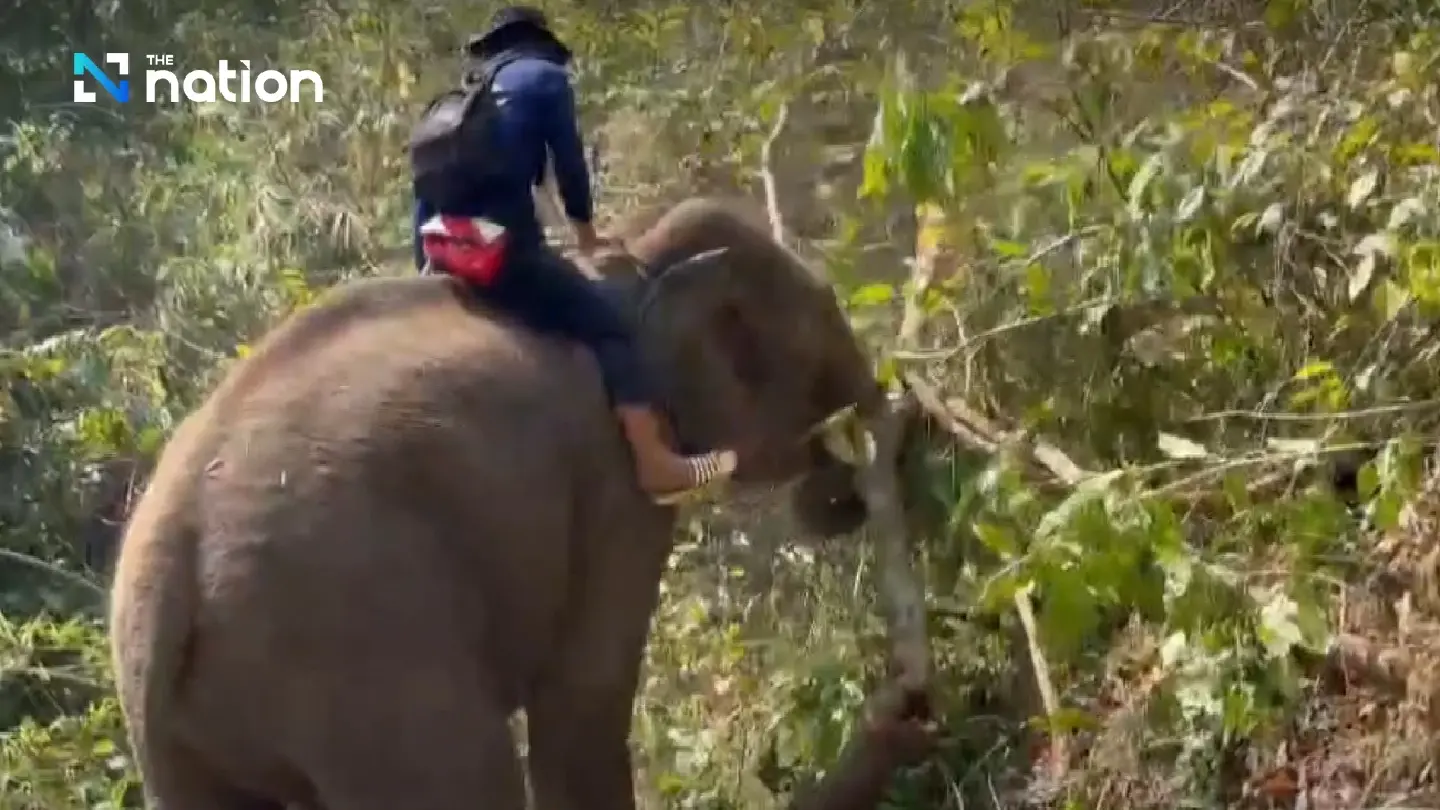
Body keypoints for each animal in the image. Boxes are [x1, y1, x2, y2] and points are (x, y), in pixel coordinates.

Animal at [108, 197, 910, 810]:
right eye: (823, 330)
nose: (911, 701)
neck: (635, 254)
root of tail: (163, 595)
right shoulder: (616, 470)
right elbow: (581, 701)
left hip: (186, 745)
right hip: (367, 668)